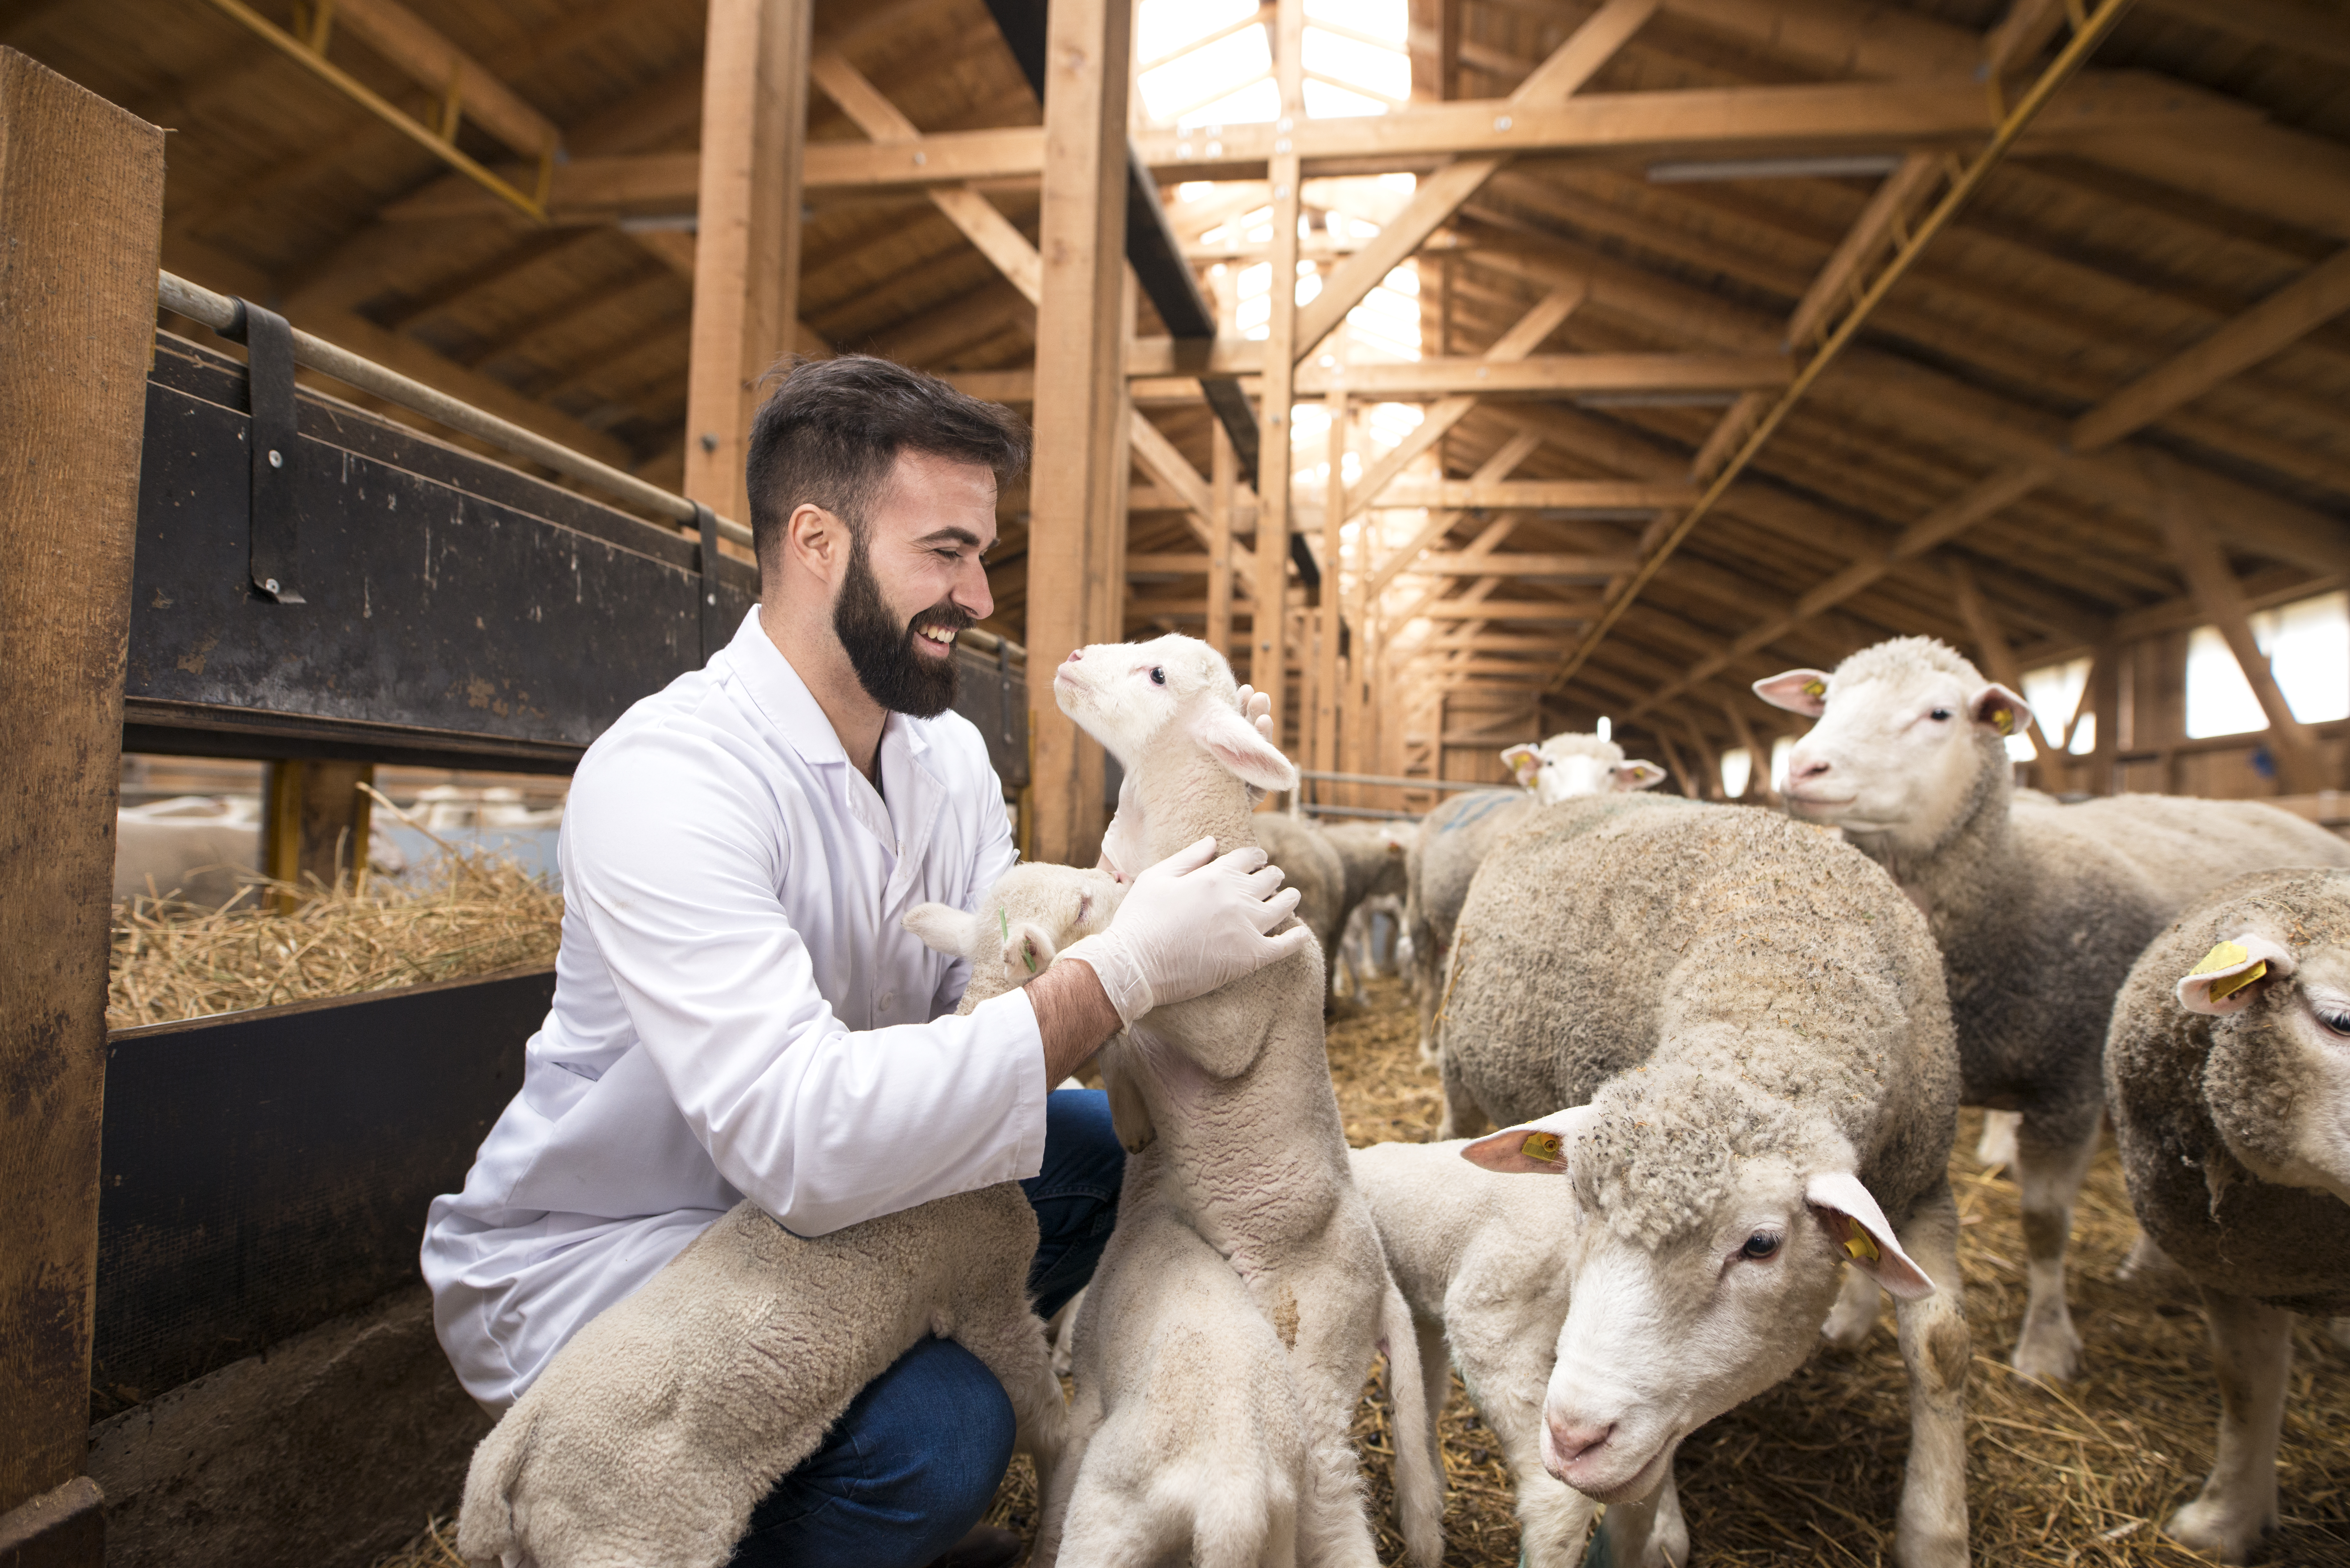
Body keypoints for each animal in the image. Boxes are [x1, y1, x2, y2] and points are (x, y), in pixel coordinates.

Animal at [1053, 635, 1447, 1568]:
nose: (1075, 653)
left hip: (1310, 1364)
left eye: (1157, 675)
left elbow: (1147, 965)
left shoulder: (1228, 1016)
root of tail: (1379, 1285)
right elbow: (1123, 1042)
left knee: (1336, 1509)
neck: (1190, 838)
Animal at [1438, 799, 1974, 1568]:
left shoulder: (1925, 1183)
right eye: (1578, 1205)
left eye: (1761, 1245)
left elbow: (1941, 1347)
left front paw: (1935, 1533)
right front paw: (1661, 1528)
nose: (1573, 1438)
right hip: (1457, 1058)